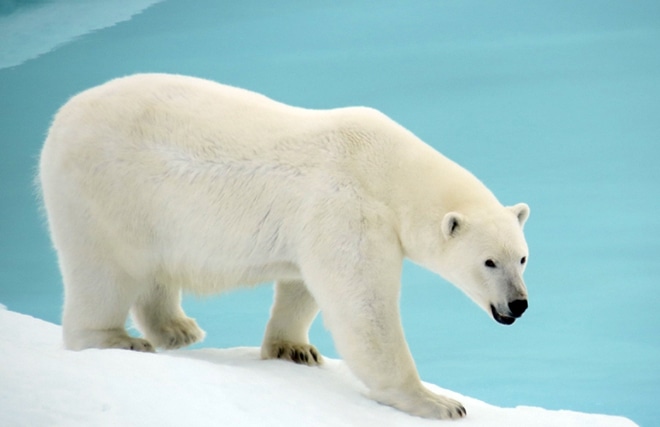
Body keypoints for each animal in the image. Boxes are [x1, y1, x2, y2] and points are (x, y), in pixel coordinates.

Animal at [38, 74, 528, 422]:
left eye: (522, 257)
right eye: (489, 262)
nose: (518, 304)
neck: (386, 168)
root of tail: (62, 117)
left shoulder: (317, 223)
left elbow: (302, 285)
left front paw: (294, 349)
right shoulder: (348, 208)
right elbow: (364, 308)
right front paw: (438, 401)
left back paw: (178, 328)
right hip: (105, 191)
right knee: (103, 271)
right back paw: (117, 339)